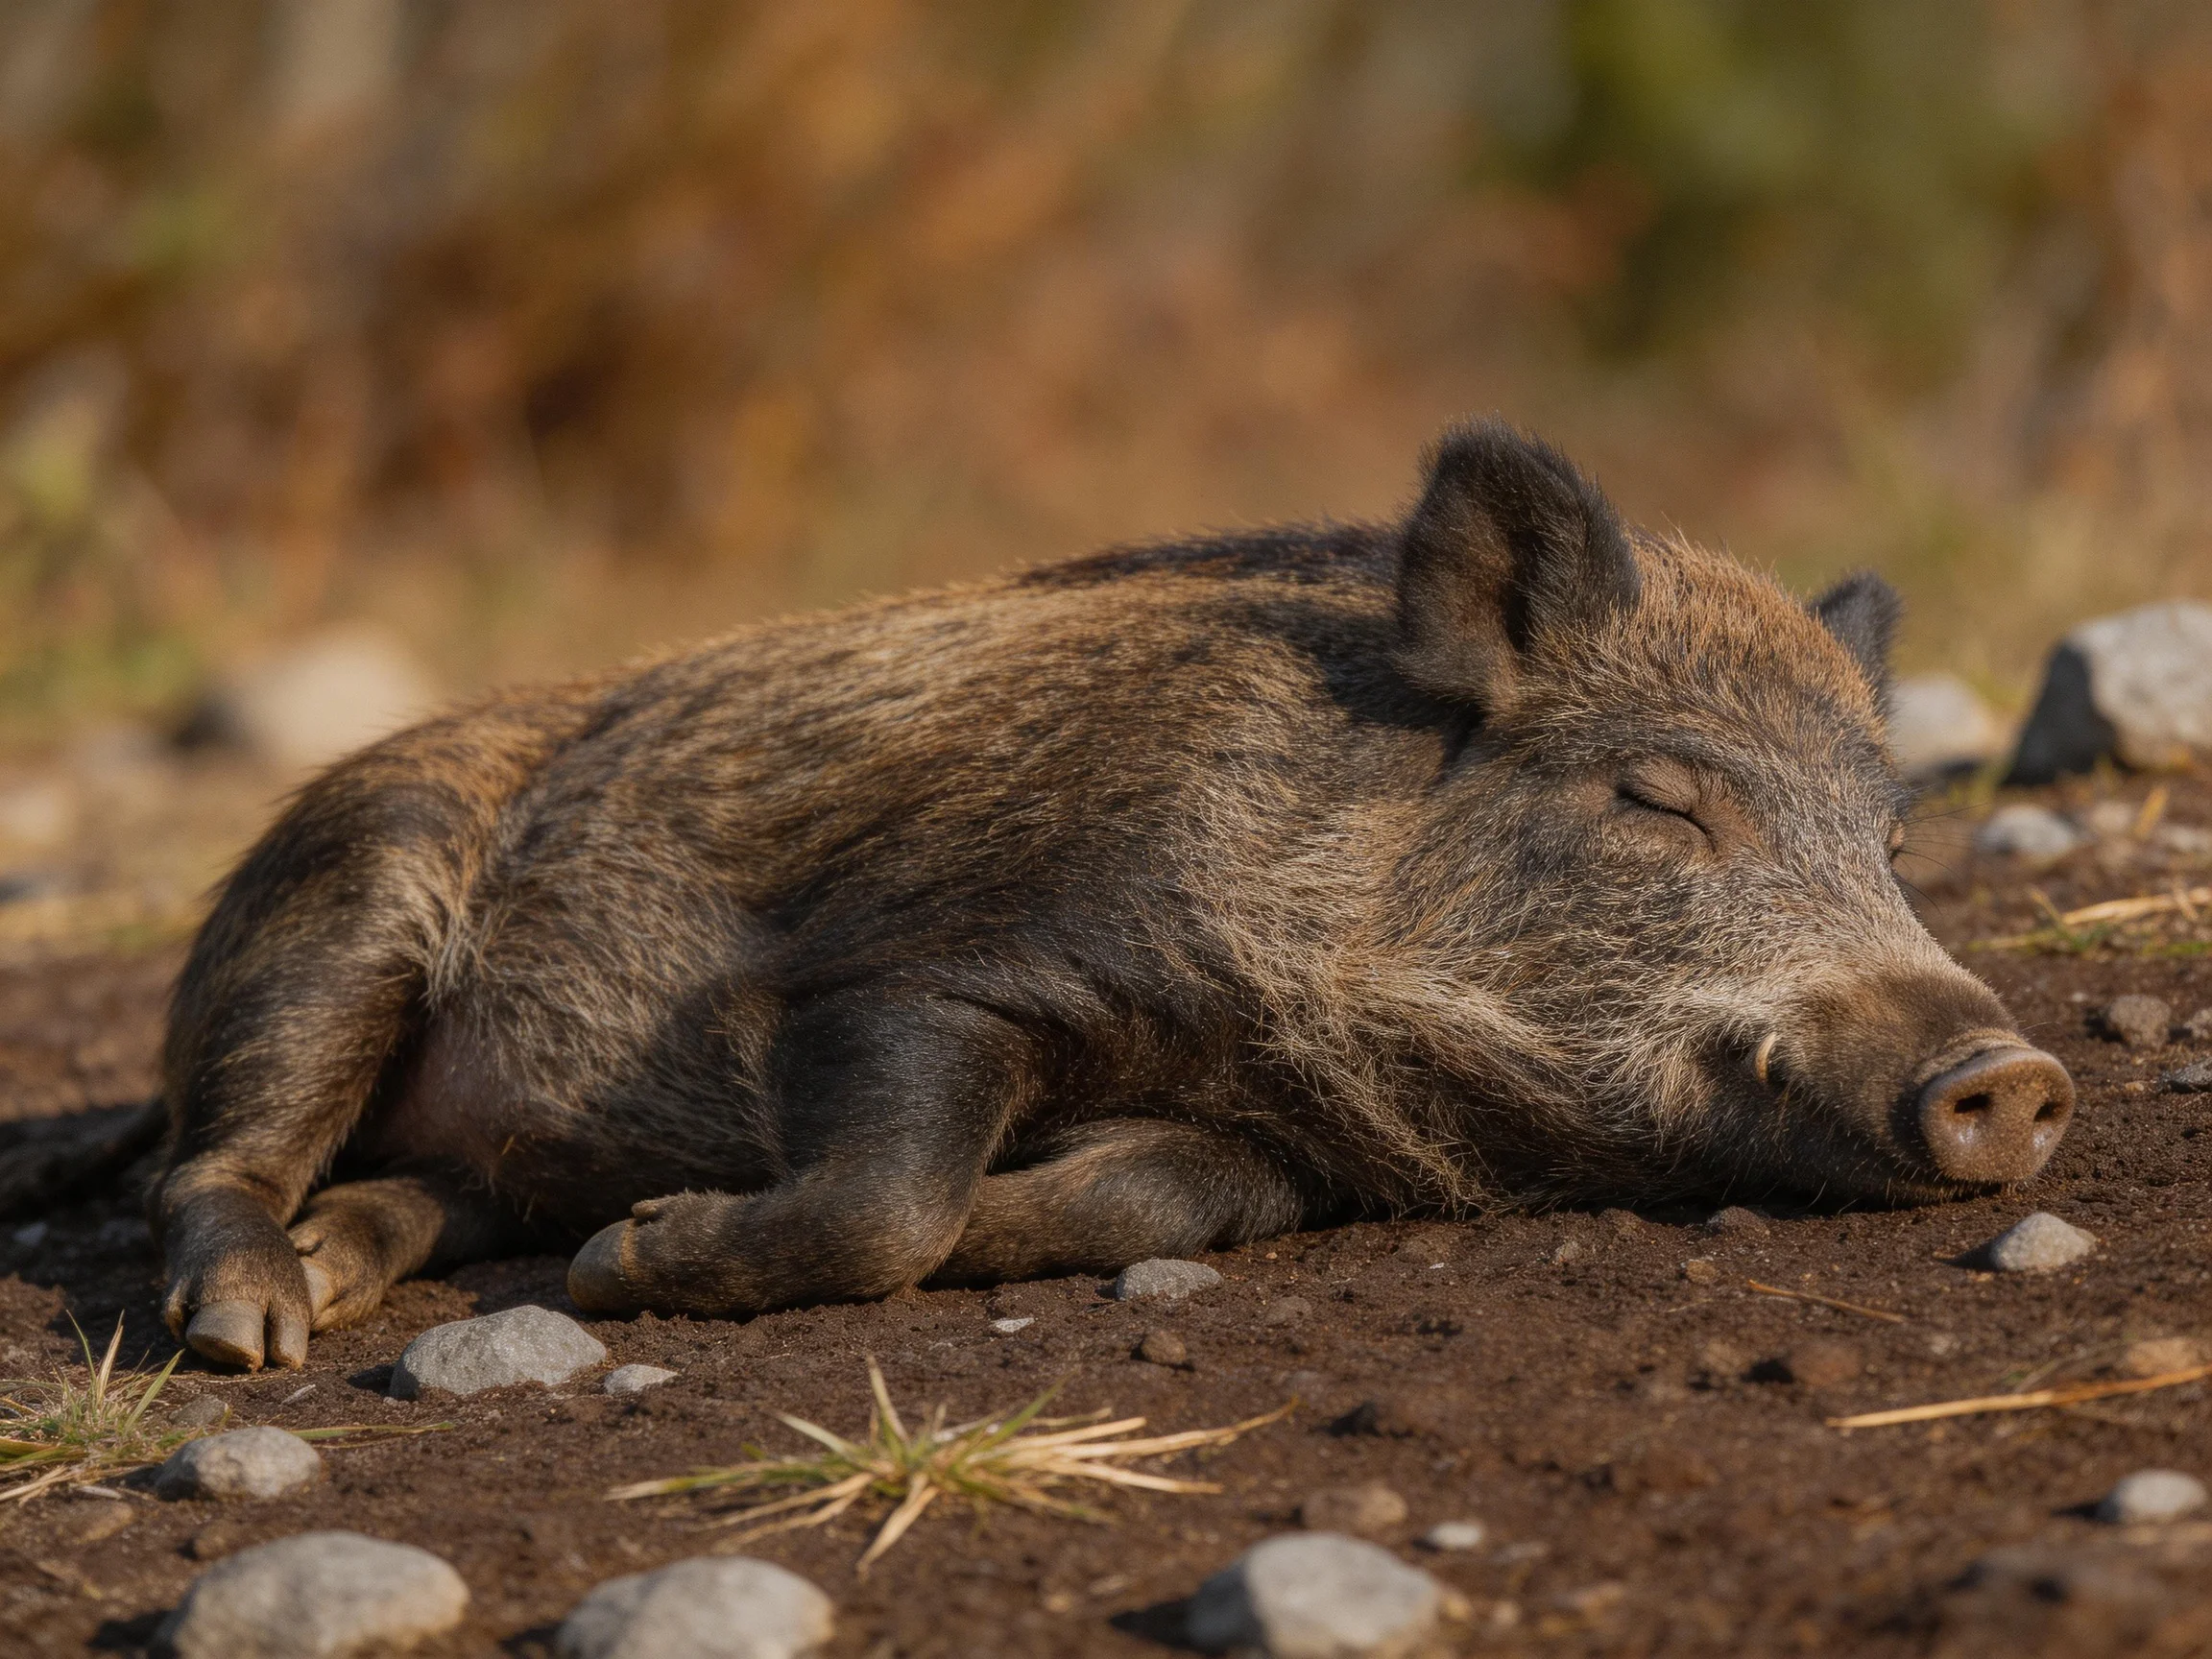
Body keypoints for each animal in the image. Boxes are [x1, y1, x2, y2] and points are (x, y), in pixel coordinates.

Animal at [151, 420, 2075, 1369]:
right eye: (1659, 797)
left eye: (1892, 844)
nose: (2017, 1072)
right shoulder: (920, 963)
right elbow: (890, 1193)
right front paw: (630, 1265)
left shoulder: (1266, 1136)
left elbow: (1156, 1196)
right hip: (345, 899)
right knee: (214, 1159)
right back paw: (254, 1338)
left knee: (403, 1191)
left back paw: (335, 1277)